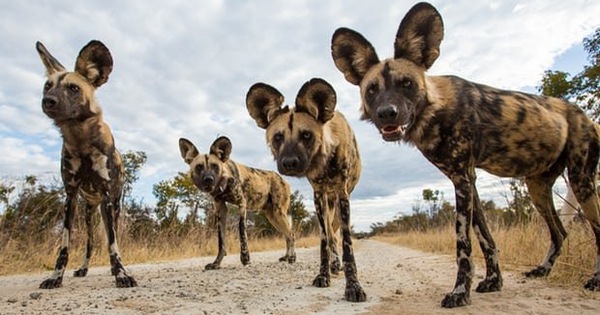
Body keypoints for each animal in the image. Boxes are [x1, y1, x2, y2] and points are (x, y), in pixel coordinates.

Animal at [36, 40, 137, 290]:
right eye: (47, 86)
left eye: (73, 88)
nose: (48, 101)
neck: (80, 138)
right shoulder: (70, 197)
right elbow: (65, 246)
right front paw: (55, 277)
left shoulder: (108, 197)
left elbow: (113, 244)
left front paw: (121, 274)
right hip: (89, 213)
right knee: (90, 244)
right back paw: (83, 269)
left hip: (112, 207)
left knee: (112, 237)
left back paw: (114, 269)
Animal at [180, 136, 298, 270]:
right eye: (199, 167)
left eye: (215, 166)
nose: (208, 179)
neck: (225, 182)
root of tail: (283, 179)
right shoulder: (221, 210)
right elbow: (221, 241)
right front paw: (216, 263)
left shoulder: (242, 205)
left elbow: (242, 232)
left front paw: (245, 258)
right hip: (273, 217)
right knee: (287, 235)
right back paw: (287, 257)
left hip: (279, 213)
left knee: (291, 234)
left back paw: (292, 257)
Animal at [246, 78, 368, 302]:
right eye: (278, 137)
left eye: (306, 135)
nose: (289, 163)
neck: (325, 160)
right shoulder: (318, 196)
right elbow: (324, 241)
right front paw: (323, 275)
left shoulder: (342, 194)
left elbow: (347, 244)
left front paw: (353, 286)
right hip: (326, 205)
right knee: (330, 235)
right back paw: (333, 265)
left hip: (336, 204)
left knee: (336, 233)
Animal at [330, 1, 600, 308]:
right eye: (372, 89)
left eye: (407, 83)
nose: (387, 113)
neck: (434, 111)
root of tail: (586, 116)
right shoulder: (468, 181)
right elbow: (485, 239)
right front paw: (493, 282)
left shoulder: (462, 178)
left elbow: (463, 243)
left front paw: (460, 292)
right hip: (537, 188)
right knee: (559, 231)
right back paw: (542, 270)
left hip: (580, 180)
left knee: (597, 229)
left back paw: (594, 280)